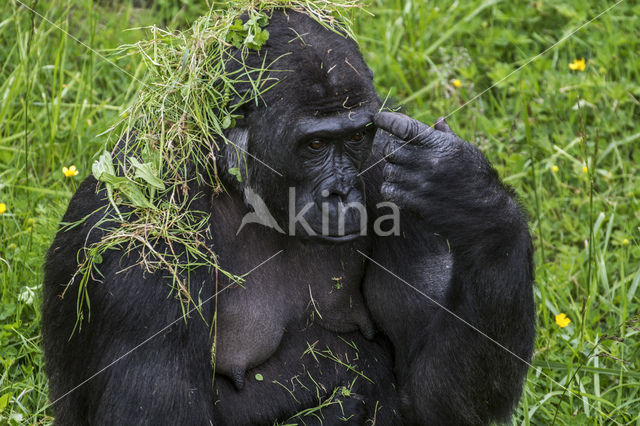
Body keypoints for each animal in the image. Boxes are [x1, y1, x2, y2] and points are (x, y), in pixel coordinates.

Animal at [42, 7, 536, 426]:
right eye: (315, 144)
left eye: (356, 138)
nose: (341, 192)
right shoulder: (142, 243)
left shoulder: (391, 165)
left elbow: (431, 395)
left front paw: (474, 204)